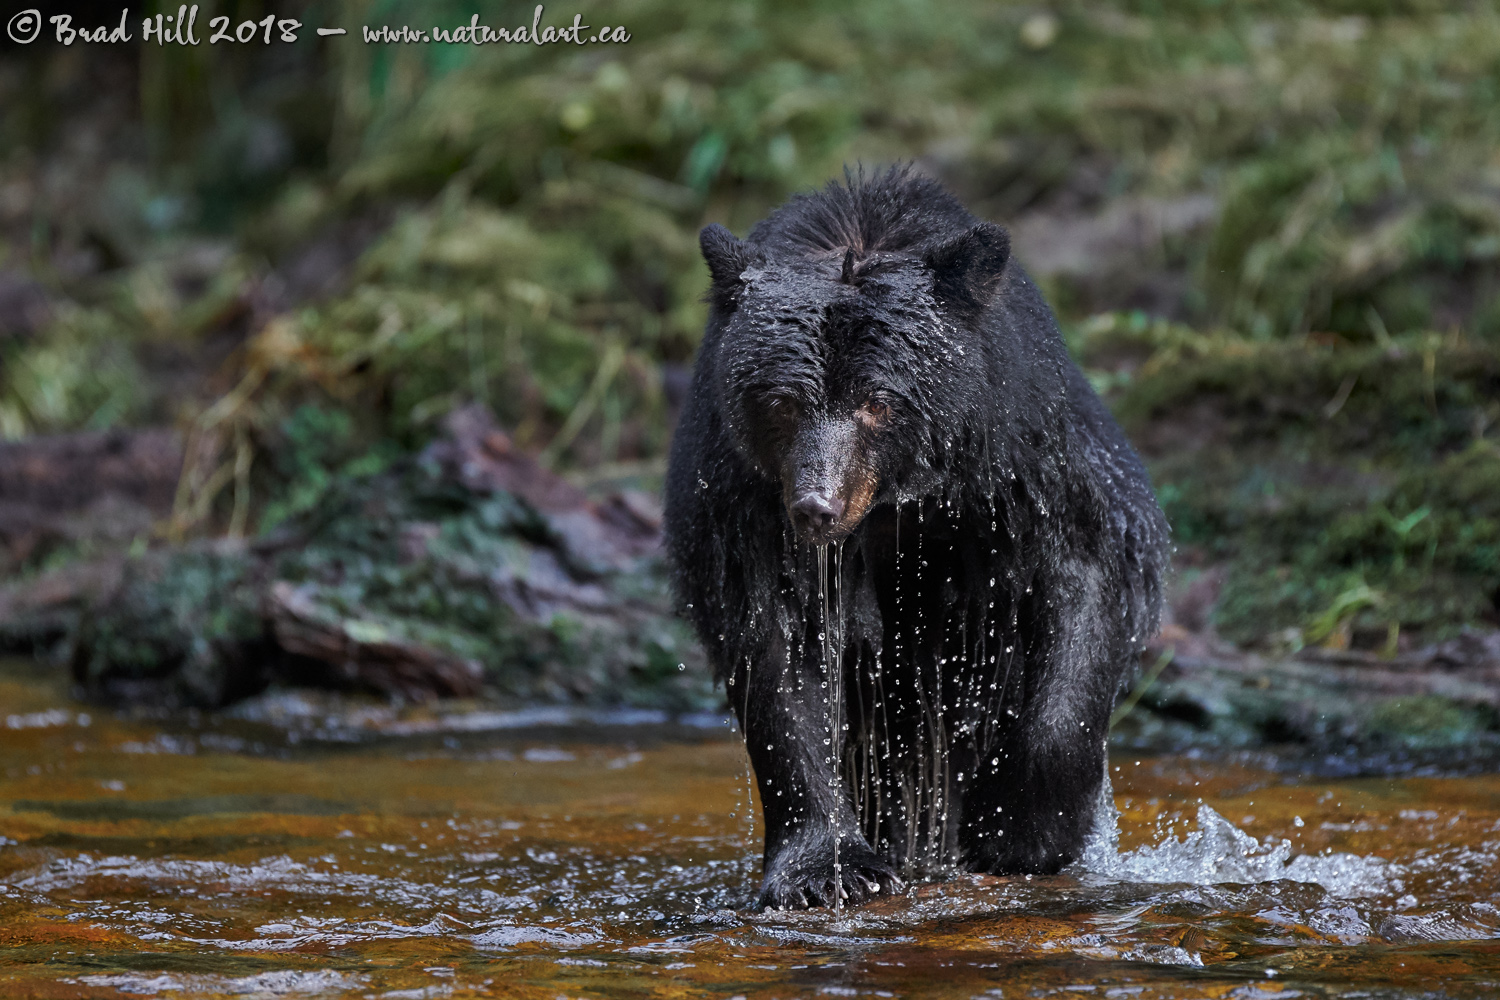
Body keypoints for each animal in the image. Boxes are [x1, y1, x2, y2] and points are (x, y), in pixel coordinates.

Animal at [663, 167, 1164, 911]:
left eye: (879, 400)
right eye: (781, 401)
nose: (816, 506)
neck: (894, 505)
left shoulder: (1024, 458)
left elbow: (1089, 570)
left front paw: (1021, 829)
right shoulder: (743, 498)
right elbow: (776, 644)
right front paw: (829, 869)